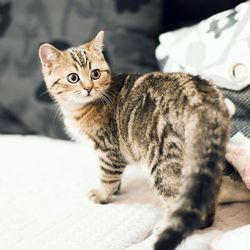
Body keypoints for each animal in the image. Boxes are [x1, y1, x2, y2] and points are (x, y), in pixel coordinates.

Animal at [38, 31, 230, 250]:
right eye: (73, 78)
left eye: (95, 74)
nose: (88, 88)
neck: (79, 108)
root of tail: (202, 99)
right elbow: (115, 177)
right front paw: (116, 191)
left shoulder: (109, 150)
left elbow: (107, 176)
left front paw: (103, 195)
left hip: (164, 162)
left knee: (177, 199)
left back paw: (165, 226)